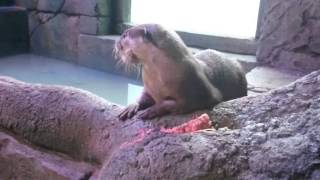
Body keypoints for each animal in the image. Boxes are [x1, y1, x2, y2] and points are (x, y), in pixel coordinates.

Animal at [115, 23, 248, 119]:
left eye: (125, 35)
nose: (116, 43)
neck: (159, 80)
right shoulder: (149, 88)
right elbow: (142, 96)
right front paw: (130, 106)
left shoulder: (202, 92)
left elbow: (175, 103)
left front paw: (152, 110)